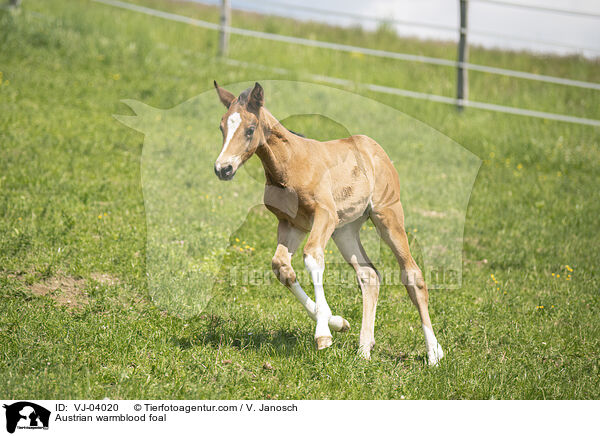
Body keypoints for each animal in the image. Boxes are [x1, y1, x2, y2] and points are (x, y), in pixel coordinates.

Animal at [213, 82, 442, 364]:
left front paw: (323, 334)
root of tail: (374, 147)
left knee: (412, 275)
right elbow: (281, 267)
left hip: (387, 215)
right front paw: (338, 322)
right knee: (369, 275)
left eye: (250, 129)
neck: (290, 165)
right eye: (222, 127)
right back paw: (364, 350)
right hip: (344, 230)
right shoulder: (291, 224)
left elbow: (312, 257)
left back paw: (434, 353)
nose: (223, 168)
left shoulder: (324, 215)